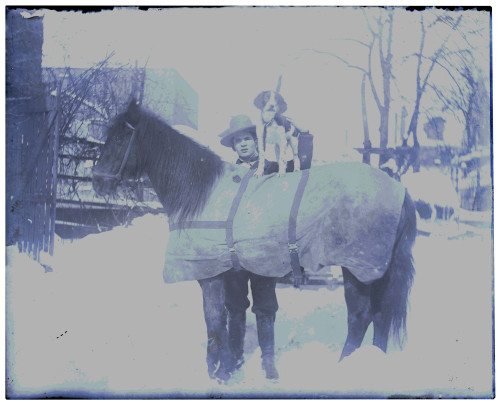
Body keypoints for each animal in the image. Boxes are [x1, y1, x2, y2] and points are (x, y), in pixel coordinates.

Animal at [92, 101, 416, 382]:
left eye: (120, 138)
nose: (97, 181)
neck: (200, 194)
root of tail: (398, 189)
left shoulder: (208, 275)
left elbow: (213, 323)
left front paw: (216, 372)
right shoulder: (228, 273)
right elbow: (231, 317)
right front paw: (227, 365)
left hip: (358, 269)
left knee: (360, 317)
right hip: (375, 270)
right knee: (380, 315)